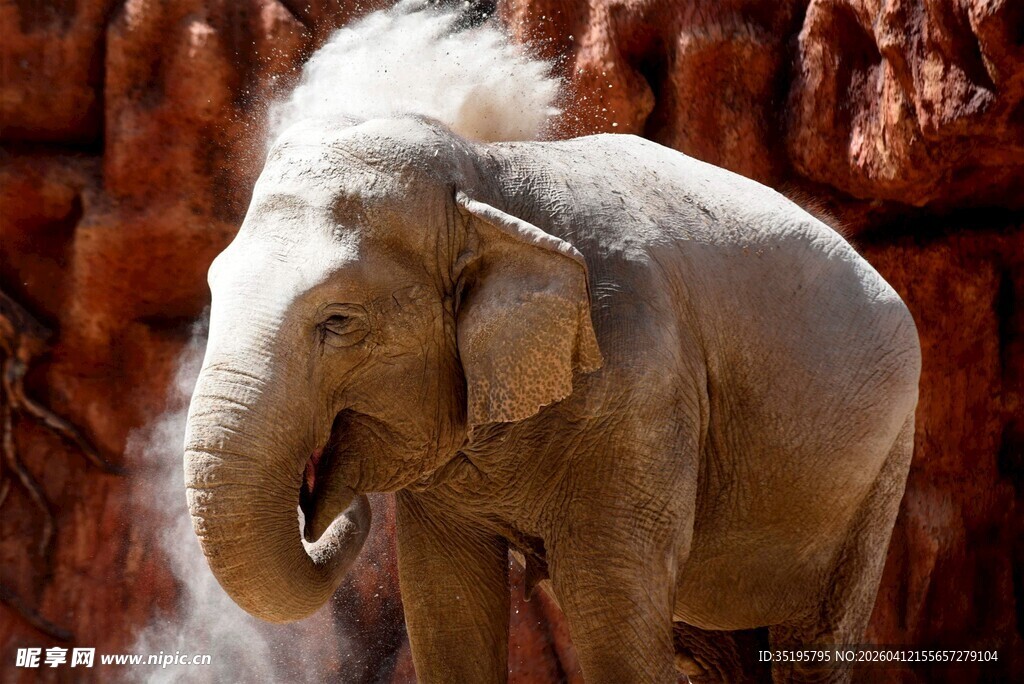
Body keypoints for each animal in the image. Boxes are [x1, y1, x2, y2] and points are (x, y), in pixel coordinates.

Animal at [183, 114, 921, 683]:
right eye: (212, 286)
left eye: (338, 322)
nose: (330, 507)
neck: (489, 178)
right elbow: (446, 604)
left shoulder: (644, 390)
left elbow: (610, 616)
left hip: (878, 476)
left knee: (810, 645)